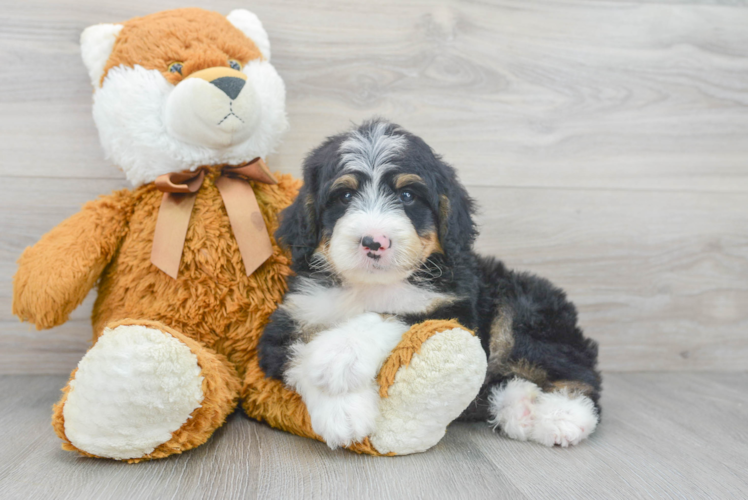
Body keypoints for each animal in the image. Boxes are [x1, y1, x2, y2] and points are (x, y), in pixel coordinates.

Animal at [260, 120, 604, 450]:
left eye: (407, 196)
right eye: (344, 196)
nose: (374, 241)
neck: (371, 284)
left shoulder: (451, 308)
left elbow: (395, 316)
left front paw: (341, 352)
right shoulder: (290, 318)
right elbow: (296, 355)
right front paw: (342, 410)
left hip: (525, 309)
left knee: (577, 374)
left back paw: (562, 415)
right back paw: (520, 407)